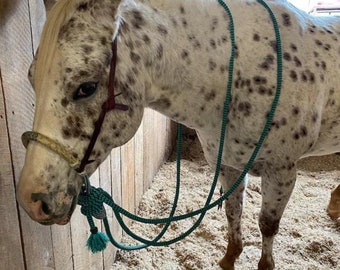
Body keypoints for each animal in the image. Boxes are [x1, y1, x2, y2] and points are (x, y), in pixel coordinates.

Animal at [17, 0, 340, 268]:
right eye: (32, 78)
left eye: (87, 87)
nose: (32, 200)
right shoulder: (228, 164)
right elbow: (233, 211)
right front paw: (230, 257)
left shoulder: (281, 171)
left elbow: (267, 225)